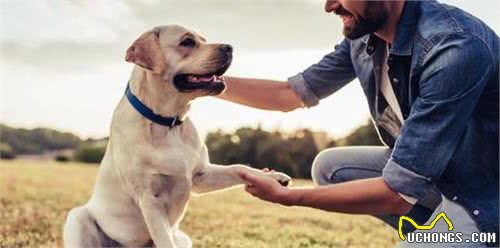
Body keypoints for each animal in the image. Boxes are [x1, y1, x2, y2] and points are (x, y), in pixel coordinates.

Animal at [62, 24, 292, 247]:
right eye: (187, 42)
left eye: (204, 39)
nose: (229, 47)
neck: (168, 123)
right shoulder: (149, 198)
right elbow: (164, 239)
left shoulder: (200, 175)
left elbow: (239, 167)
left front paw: (272, 177)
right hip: (77, 217)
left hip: (183, 237)